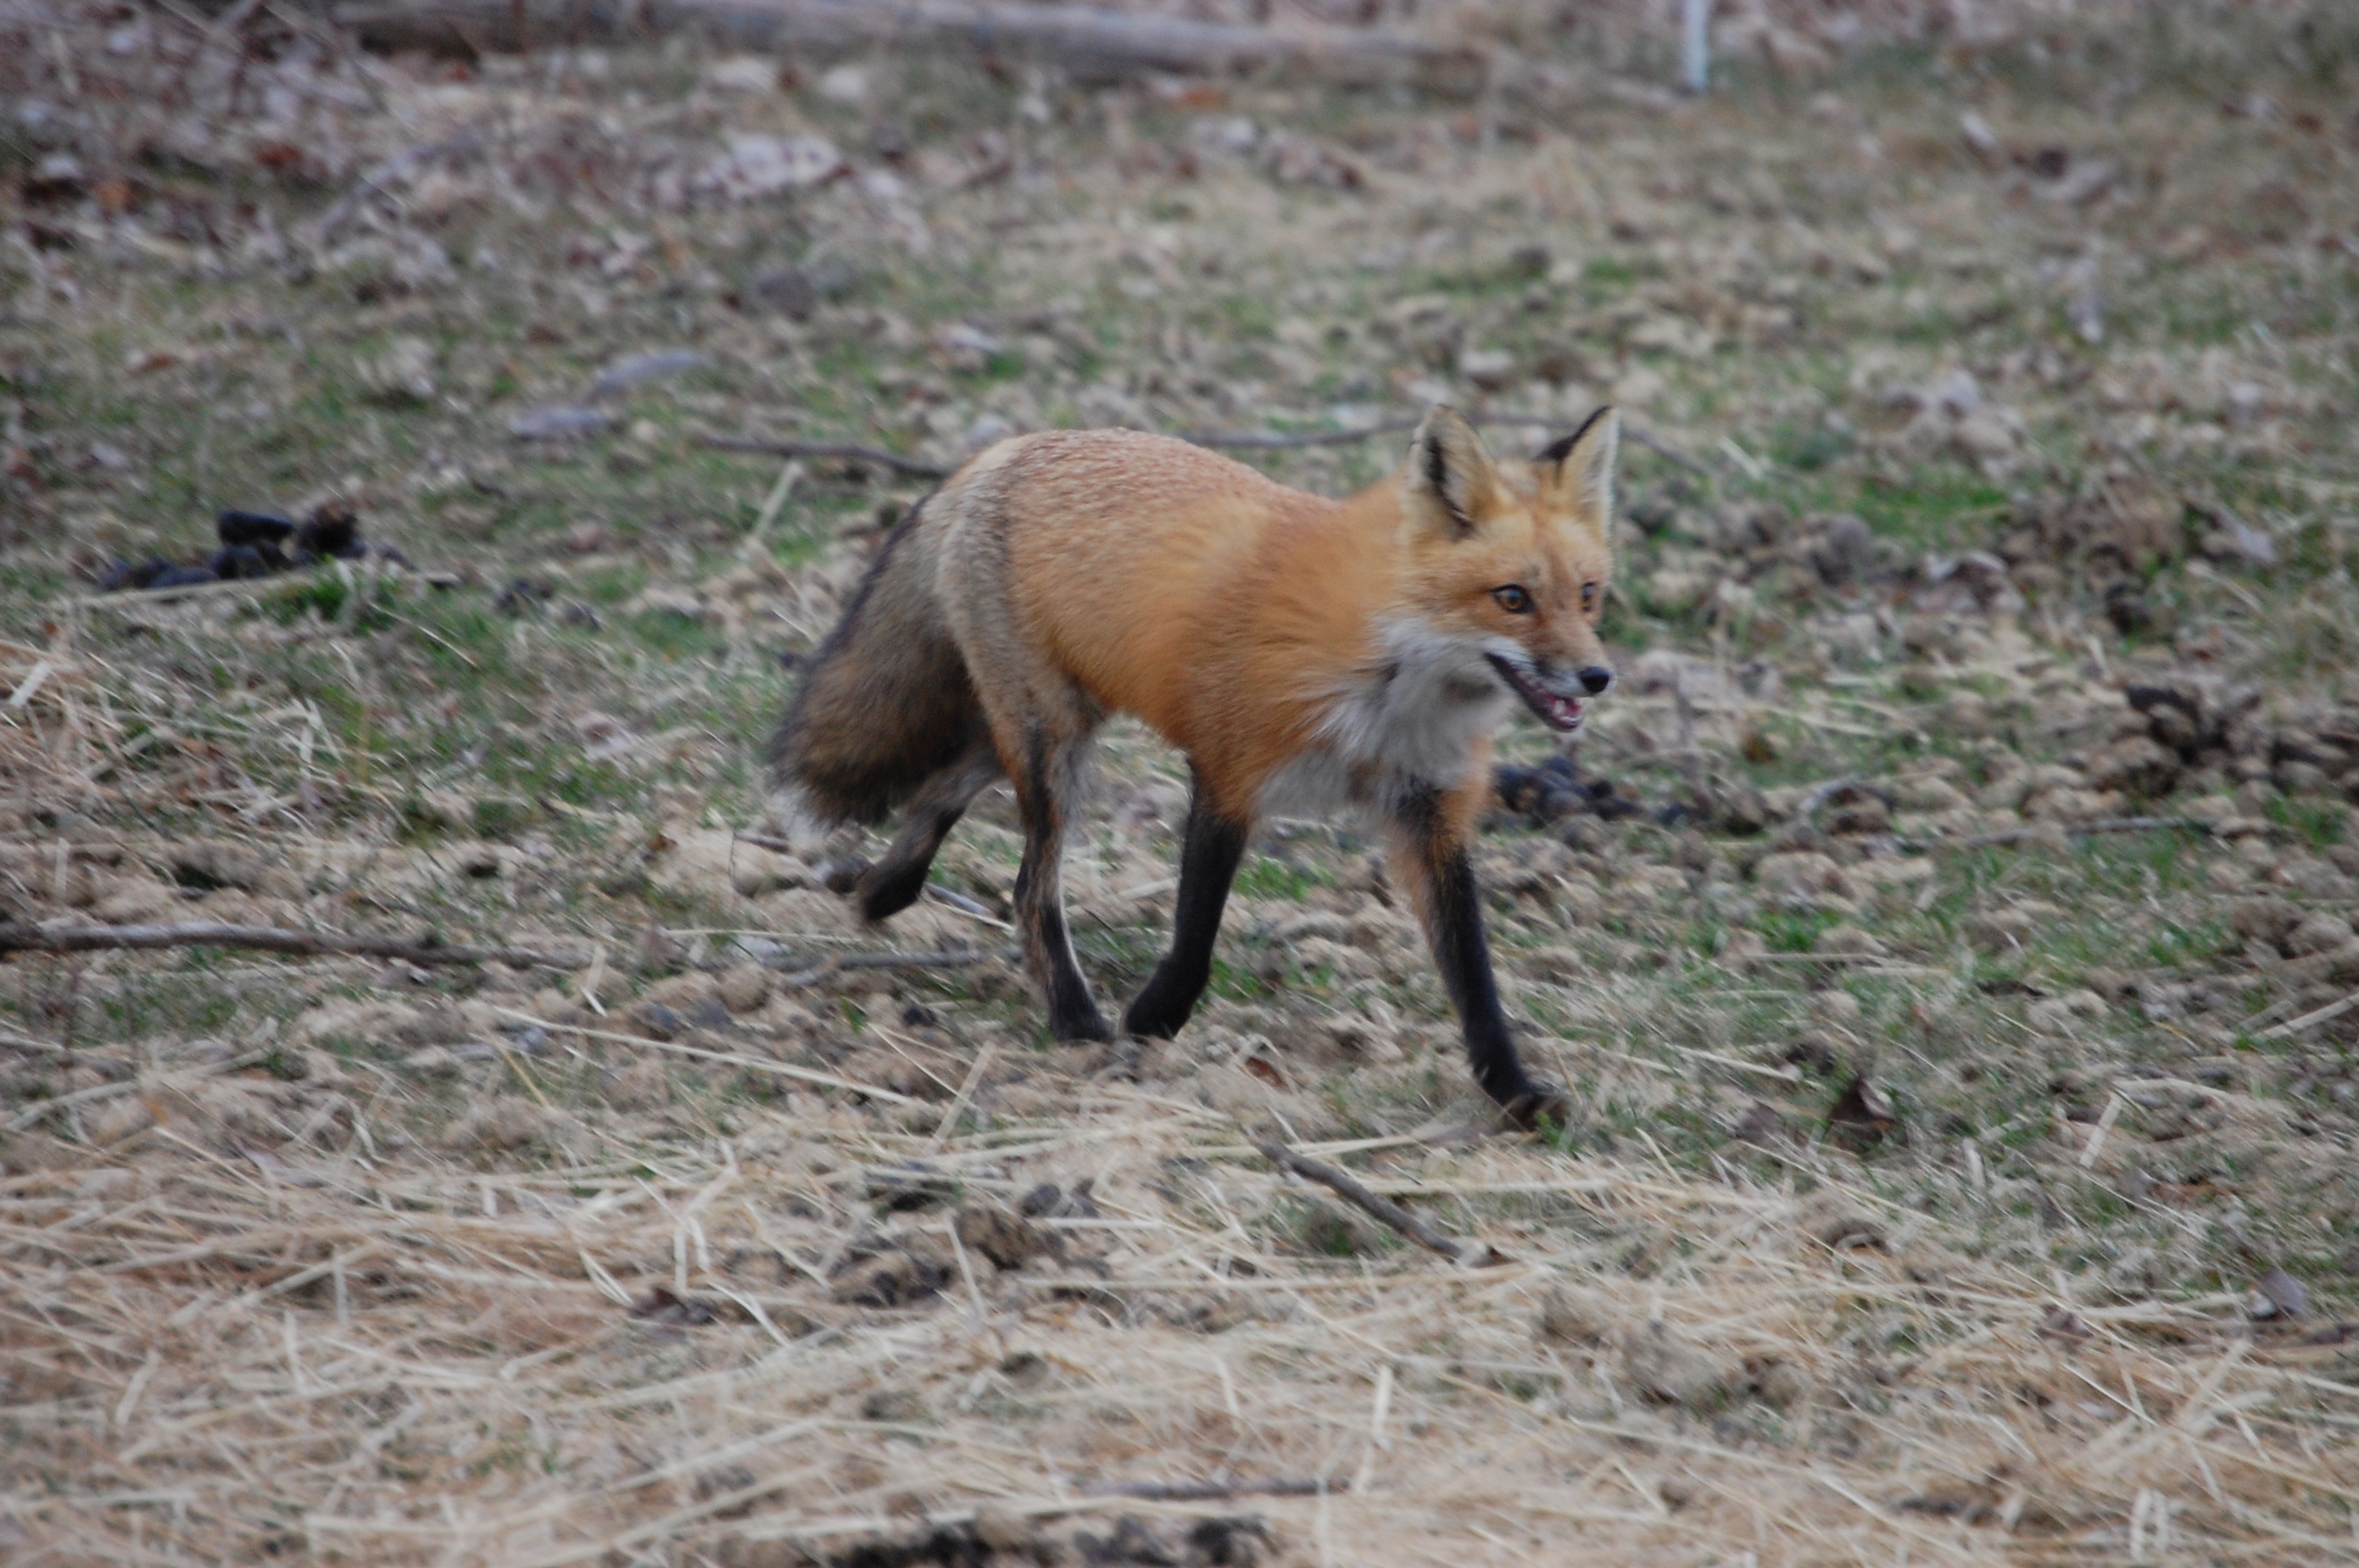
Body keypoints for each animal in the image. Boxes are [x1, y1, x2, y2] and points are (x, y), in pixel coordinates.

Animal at [764, 400, 1614, 1112]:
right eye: (1512, 599)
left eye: (1589, 596)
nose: (1597, 677)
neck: (1389, 686)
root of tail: (1016, 445)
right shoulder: (1229, 773)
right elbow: (1195, 935)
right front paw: (1151, 1022)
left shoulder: (1431, 816)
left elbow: (1476, 978)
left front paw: (1512, 1090)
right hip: (1054, 746)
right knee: (1029, 888)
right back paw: (1076, 1021)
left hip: (1054, 725)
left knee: (942, 787)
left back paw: (882, 892)